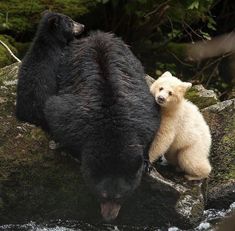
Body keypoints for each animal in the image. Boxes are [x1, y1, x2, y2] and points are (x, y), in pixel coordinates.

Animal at [43, 31, 161, 221]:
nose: (109, 218)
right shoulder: (71, 119)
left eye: (121, 196)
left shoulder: (144, 116)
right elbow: (53, 112)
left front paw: (146, 162)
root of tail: (97, 34)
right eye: (102, 195)